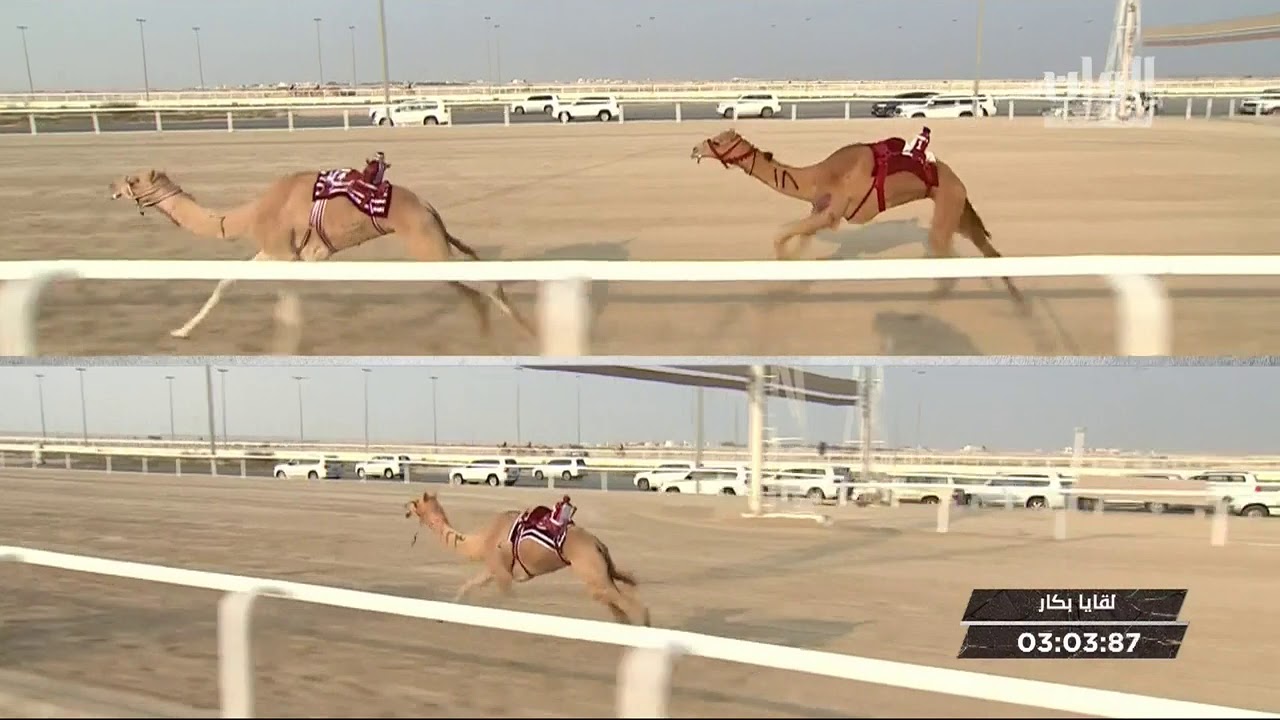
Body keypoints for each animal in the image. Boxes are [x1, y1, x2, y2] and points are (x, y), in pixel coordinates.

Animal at [108, 159, 533, 353]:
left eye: (133, 181)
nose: (111, 187)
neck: (249, 214)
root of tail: (430, 208)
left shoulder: (283, 252)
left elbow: (286, 309)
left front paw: (282, 349)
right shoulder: (280, 251)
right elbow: (227, 281)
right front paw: (180, 331)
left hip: (426, 243)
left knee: (484, 284)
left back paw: (528, 334)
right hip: (431, 245)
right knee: (468, 286)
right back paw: (485, 335)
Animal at [404, 491, 651, 626]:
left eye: (416, 503)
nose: (405, 506)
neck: (483, 538)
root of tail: (599, 545)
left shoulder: (502, 573)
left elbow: (510, 601)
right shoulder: (492, 570)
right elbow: (468, 585)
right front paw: (443, 616)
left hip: (591, 569)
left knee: (627, 603)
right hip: (597, 574)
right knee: (613, 602)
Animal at [690, 128, 1027, 309]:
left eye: (718, 141)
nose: (694, 148)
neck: (821, 175)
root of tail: (958, 181)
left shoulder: (834, 211)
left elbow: (780, 235)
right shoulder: (820, 211)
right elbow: (799, 241)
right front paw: (791, 285)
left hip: (946, 207)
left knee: (949, 265)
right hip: (957, 211)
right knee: (988, 251)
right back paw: (1018, 302)